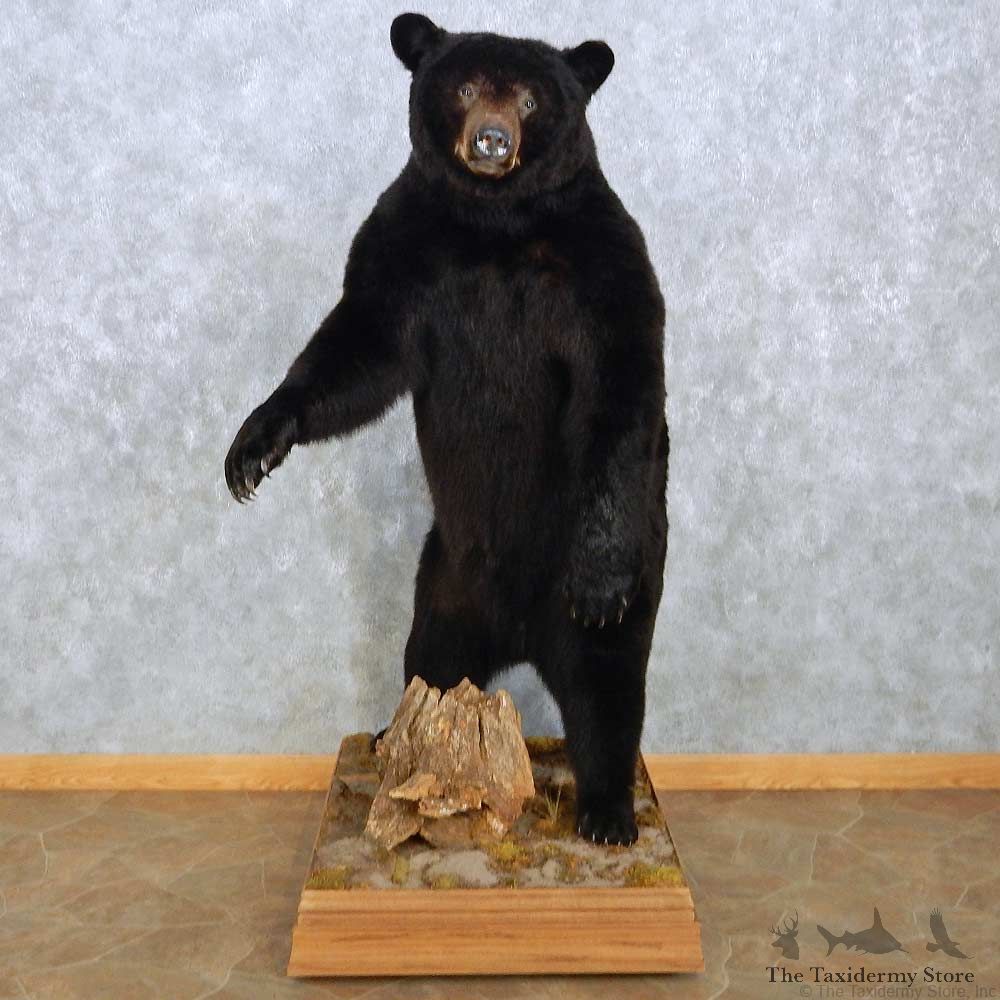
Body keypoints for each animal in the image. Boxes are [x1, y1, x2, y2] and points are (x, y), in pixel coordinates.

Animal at [224, 13, 668, 845]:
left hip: (625, 577)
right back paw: (391, 739)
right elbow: (358, 349)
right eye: (463, 88)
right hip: (442, 584)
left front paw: (598, 580)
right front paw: (255, 448)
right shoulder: (404, 246)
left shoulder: (603, 263)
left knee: (608, 687)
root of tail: (520, 635)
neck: (494, 229)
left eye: (529, 97)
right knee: (425, 660)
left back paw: (608, 811)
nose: (491, 140)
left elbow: (620, 390)